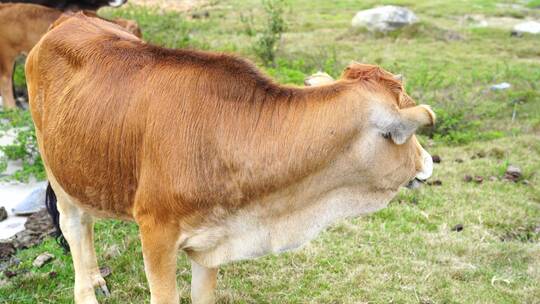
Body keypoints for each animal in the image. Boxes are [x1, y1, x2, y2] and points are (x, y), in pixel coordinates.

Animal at [26, 12, 434, 304]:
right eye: (405, 134)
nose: (429, 162)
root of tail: (71, 17)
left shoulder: (211, 242)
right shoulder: (155, 233)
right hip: (57, 169)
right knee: (75, 226)